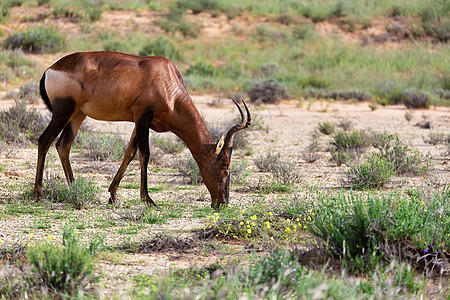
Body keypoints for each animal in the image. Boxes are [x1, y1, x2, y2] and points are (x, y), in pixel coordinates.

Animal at [34, 51, 253, 209]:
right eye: (224, 165)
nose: (222, 203)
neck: (166, 78)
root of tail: (51, 69)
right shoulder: (142, 117)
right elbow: (144, 155)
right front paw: (148, 200)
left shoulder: (138, 121)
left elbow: (129, 154)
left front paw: (113, 196)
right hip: (63, 111)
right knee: (44, 140)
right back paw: (39, 193)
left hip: (78, 114)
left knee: (63, 145)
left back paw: (74, 188)